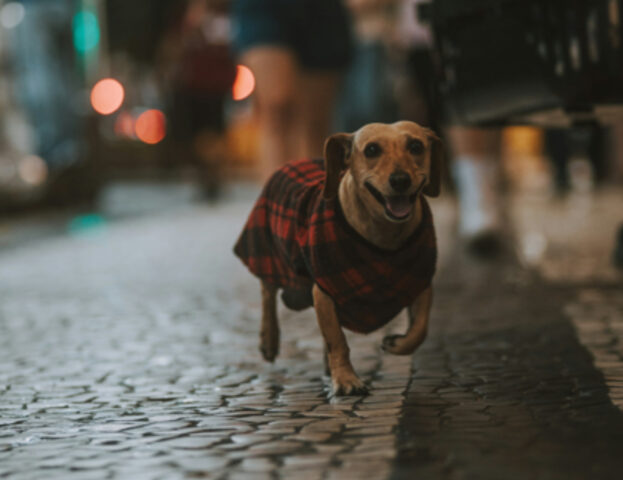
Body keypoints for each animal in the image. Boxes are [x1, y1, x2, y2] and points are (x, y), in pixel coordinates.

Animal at [235, 122, 444, 396]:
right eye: (372, 150)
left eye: (416, 146)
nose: (400, 180)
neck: (383, 236)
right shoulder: (324, 292)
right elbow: (337, 339)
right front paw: (346, 379)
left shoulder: (420, 283)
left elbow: (420, 328)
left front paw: (396, 344)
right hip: (268, 255)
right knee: (267, 295)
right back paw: (269, 341)